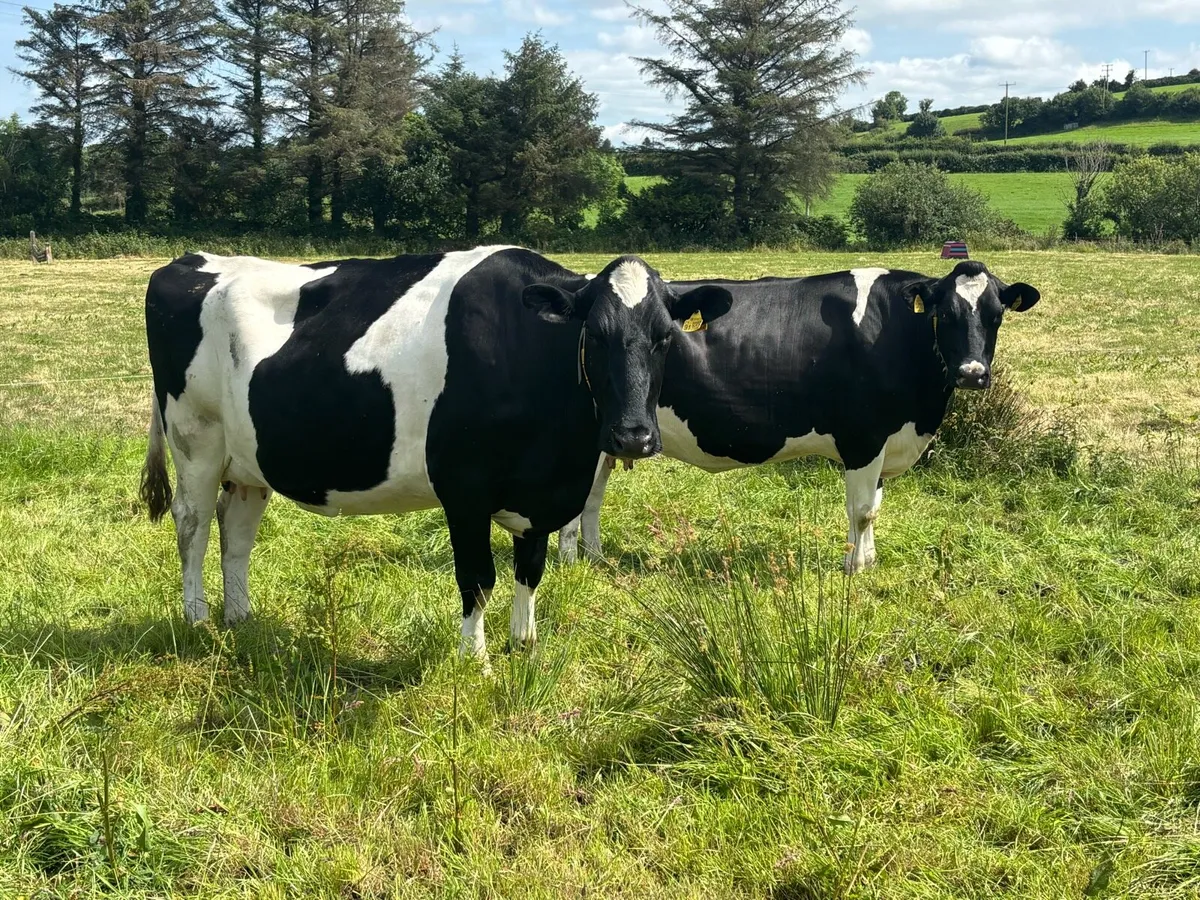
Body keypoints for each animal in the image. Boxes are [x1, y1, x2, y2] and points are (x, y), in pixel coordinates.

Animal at [139, 246, 733, 663]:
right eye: (596, 335)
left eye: (664, 337)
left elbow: (529, 570)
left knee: (235, 529)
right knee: (192, 524)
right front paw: (477, 660)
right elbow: (478, 577)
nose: (634, 437)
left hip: (250, 459)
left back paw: (241, 619)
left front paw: (525, 647)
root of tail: (189, 261)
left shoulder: (540, 493)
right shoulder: (463, 489)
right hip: (195, 437)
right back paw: (197, 621)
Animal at [557, 260, 1040, 573]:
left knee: (593, 498)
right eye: (946, 313)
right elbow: (862, 510)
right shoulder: (863, 437)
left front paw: (868, 559)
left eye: (996, 316)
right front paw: (855, 567)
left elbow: (875, 506)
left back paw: (594, 560)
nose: (972, 373)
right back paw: (570, 563)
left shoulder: (883, 441)